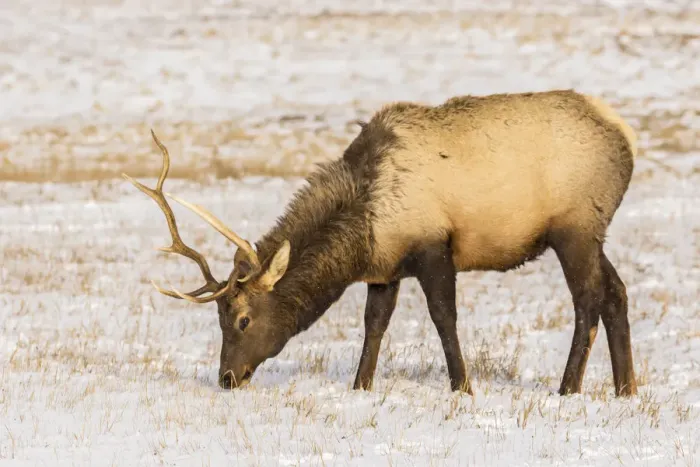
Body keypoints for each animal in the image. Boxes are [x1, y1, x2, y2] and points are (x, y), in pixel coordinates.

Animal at [124, 89, 639, 397]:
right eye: (218, 316)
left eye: (243, 319)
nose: (227, 378)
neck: (366, 222)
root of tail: (627, 137)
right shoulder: (385, 268)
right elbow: (375, 325)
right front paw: (361, 386)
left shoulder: (434, 247)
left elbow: (443, 317)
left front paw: (462, 386)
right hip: (593, 234)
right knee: (616, 292)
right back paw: (626, 388)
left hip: (574, 229)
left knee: (588, 299)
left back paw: (568, 388)